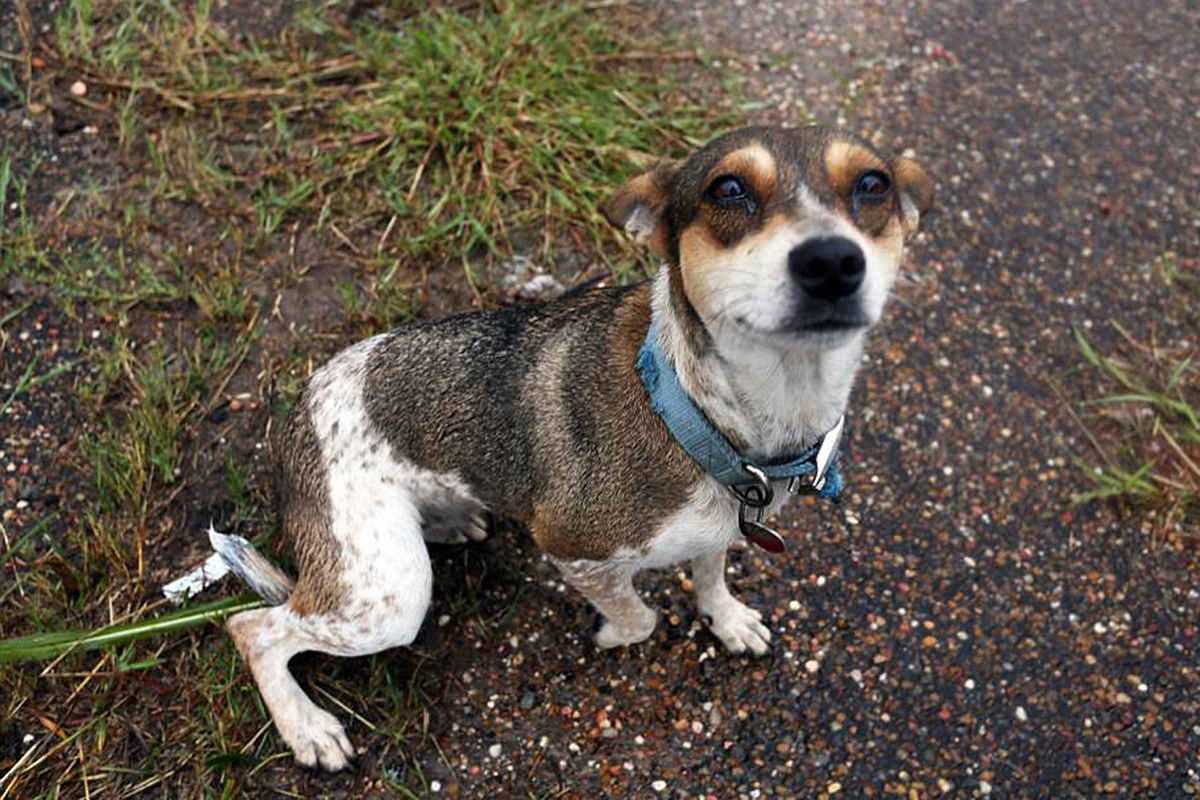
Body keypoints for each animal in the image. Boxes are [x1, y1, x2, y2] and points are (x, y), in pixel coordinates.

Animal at [211, 125, 931, 767]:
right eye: (728, 189)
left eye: (873, 185)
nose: (832, 262)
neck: (700, 411)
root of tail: (295, 413)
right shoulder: (572, 548)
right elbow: (639, 617)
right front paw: (612, 631)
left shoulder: (723, 527)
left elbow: (711, 574)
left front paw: (726, 620)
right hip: (388, 597)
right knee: (253, 628)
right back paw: (306, 727)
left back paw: (454, 519)